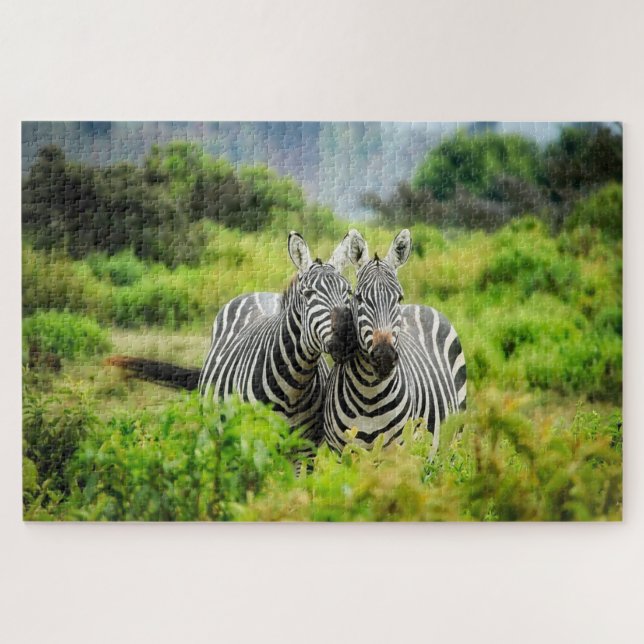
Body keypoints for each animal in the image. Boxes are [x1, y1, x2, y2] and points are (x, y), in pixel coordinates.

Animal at [197, 230, 362, 444]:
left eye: (348, 292)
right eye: (308, 294)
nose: (346, 339)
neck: (295, 386)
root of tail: (260, 292)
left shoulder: (307, 445)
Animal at [323, 229, 467, 453]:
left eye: (399, 298)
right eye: (359, 297)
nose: (385, 357)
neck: (369, 396)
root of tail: (421, 306)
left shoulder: (398, 450)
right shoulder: (340, 452)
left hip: (452, 439)